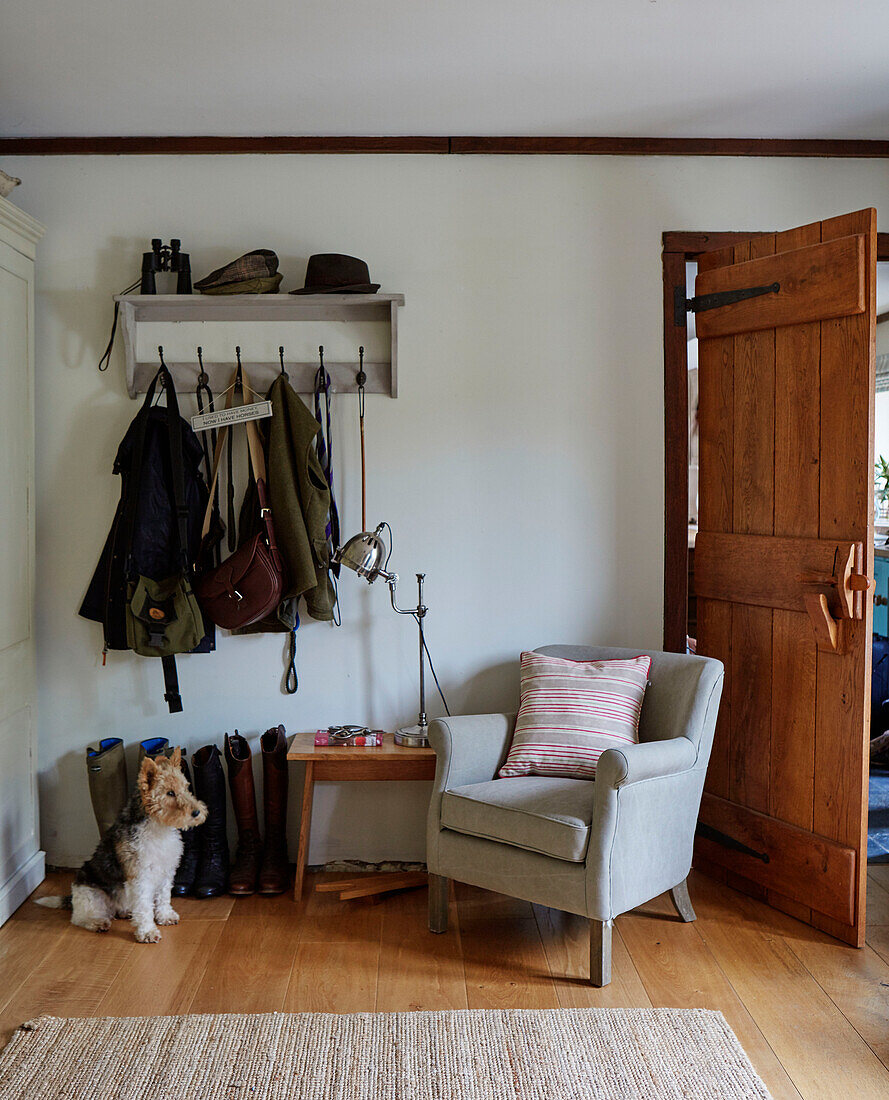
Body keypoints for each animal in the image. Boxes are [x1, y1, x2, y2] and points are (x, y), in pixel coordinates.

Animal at [38, 752, 206, 941]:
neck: (158, 826)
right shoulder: (140, 876)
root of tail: (72, 896)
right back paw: (98, 922)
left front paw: (165, 916)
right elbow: (144, 907)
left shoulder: (166, 871)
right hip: (91, 894)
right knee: (79, 918)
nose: (197, 813)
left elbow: (163, 897)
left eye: (186, 787)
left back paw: (126, 913)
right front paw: (147, 932)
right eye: (170, 792)